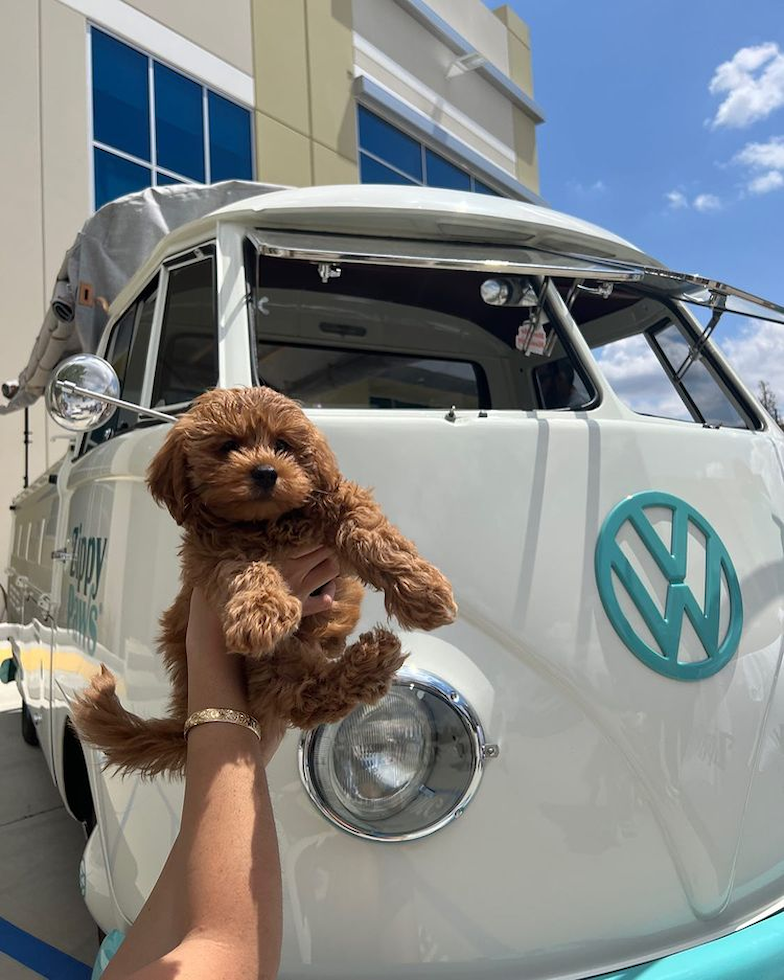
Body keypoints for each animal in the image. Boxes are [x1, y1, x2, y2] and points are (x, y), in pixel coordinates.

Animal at [72, 386, 456, 776]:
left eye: (283, 444)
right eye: (228, 446)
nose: (266, 472)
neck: (267, 522)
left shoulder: (340, 502)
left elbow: (374, 535)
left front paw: (424, 593)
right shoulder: (212, 555)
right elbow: (247, 570)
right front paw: (261, 614)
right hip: (273, 665)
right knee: (310, 696)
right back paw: (373, 659)